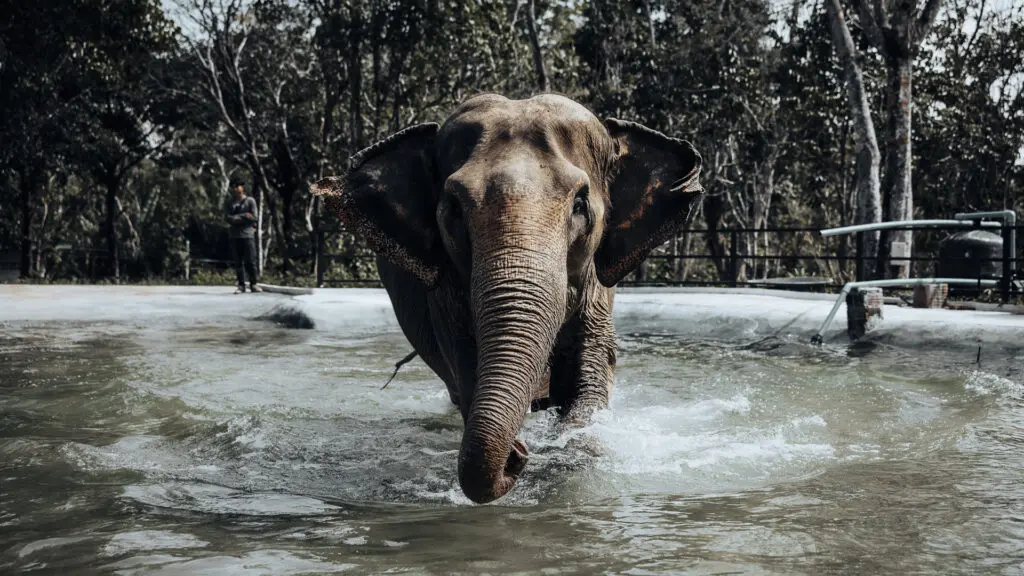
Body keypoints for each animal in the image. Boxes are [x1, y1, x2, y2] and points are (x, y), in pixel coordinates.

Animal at [311, 94, 704, 502]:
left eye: (580, 205)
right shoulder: (445, 292)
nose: (517, 455)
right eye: (453, 209)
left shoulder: (597, 286)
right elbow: (466, 367)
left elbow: (590, 375)